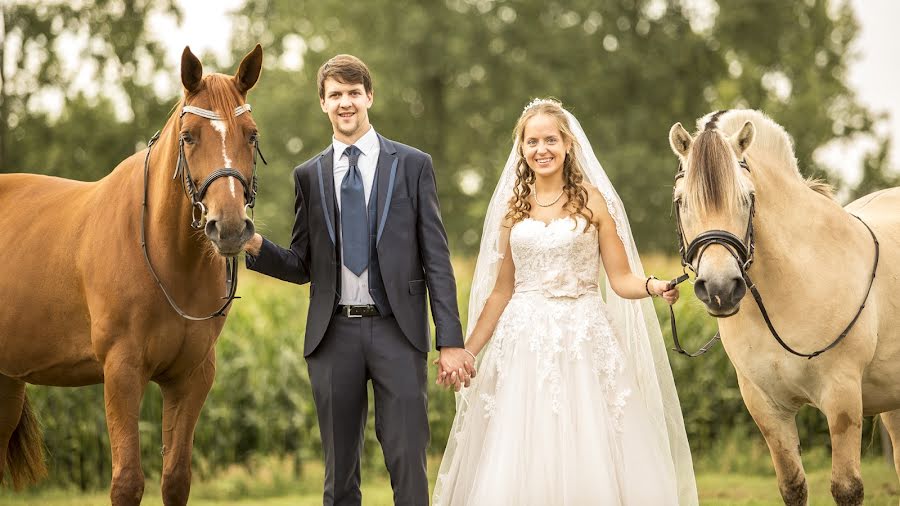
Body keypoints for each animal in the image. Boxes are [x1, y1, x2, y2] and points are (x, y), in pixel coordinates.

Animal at [0, 45, 266, 504]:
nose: (230, 228)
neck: (166, 257)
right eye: (189, 136)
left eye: (250, 134)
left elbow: (175, 478)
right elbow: (127, 482)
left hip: (8, 384)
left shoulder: (191, 377)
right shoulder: (122, 371)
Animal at [664, 108, 900, 504]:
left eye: (747, 198)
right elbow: (792, 485)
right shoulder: (765, 405)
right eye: (682, 202)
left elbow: (846, 487)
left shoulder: (842, 396)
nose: (720, 289)